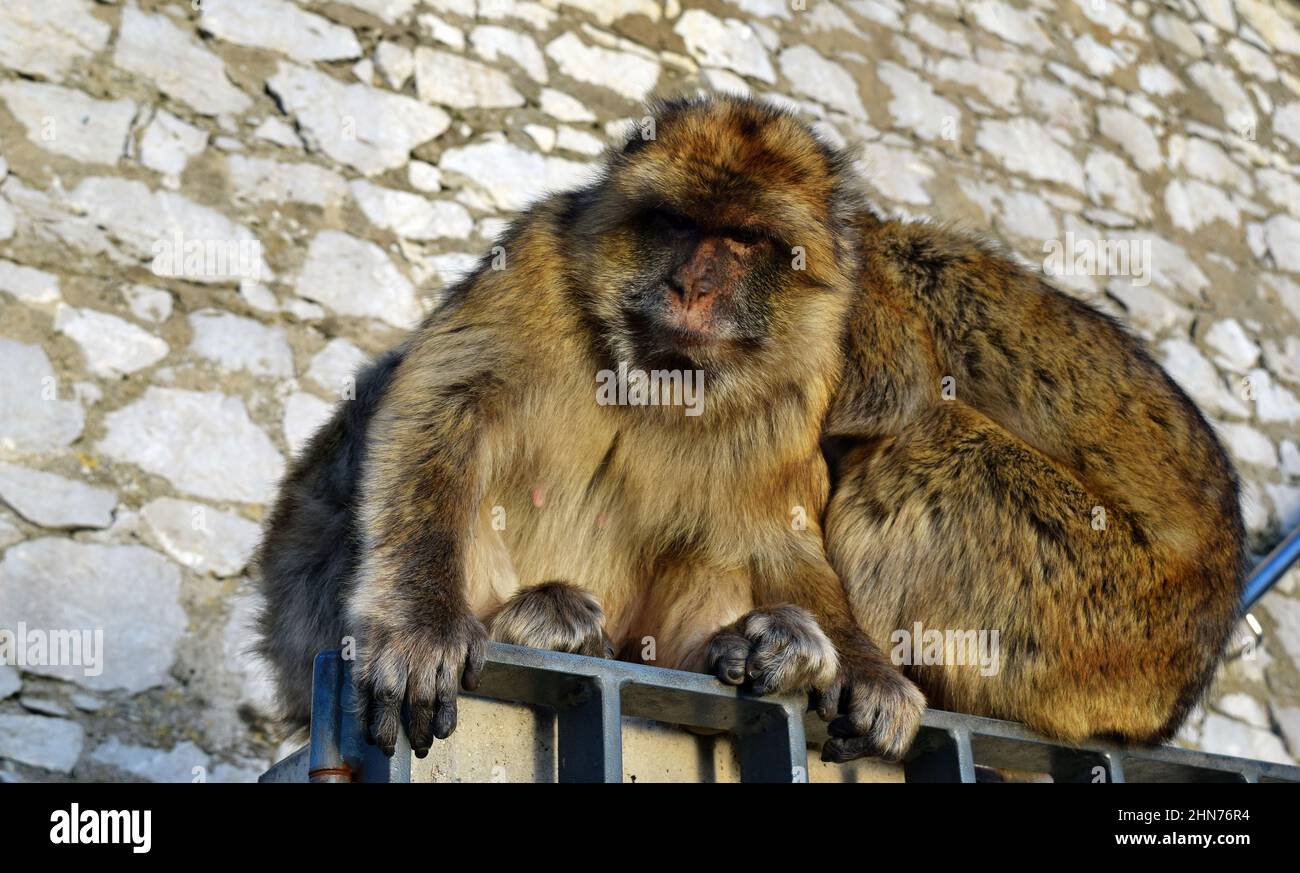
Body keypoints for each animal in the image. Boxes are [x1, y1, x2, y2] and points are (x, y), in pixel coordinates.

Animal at [255, 95, 925, 765]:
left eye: (743, 238)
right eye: (676, 223)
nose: (691, 286)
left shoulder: (807, 369)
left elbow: (779, 528)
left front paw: (865, 668)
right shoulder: (534, 257)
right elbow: (442, 402)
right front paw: (421, 623)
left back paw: (740, 646)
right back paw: (545, 625)